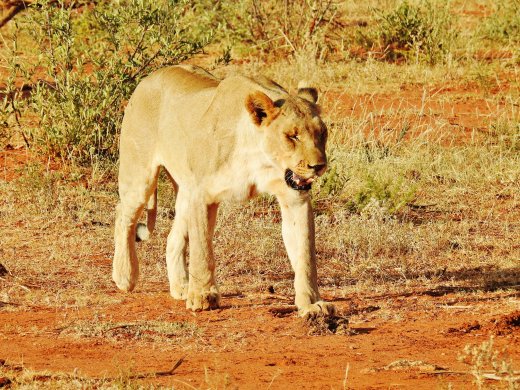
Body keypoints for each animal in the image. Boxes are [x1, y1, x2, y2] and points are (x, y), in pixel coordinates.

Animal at [111, 64, 336, 316]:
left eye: (322, 133)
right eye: (292, 136)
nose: (318, 166)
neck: (259, 156)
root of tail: (149, 77)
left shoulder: (295, 196)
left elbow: (305, 254)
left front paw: (312, 304)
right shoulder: (202, 193)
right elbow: (202, 250)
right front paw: (202, 296)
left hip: (184, 191)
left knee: (172, 237)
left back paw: (181, 286)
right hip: (140, 177)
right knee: (123, 216)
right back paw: (125, 276)